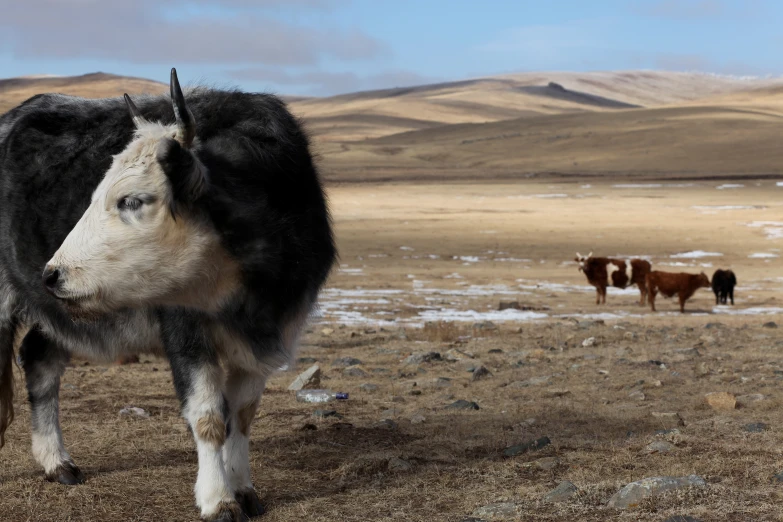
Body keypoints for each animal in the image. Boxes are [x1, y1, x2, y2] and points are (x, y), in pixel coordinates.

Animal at [0, 69, 334, 520]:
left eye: (132, 200)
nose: (53, 274)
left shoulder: (270, 335)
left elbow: (243, 414)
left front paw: (244, 490)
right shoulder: (187, 333)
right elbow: (208, 416)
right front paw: (218, 500)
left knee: (39, 359)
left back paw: (58, 464)